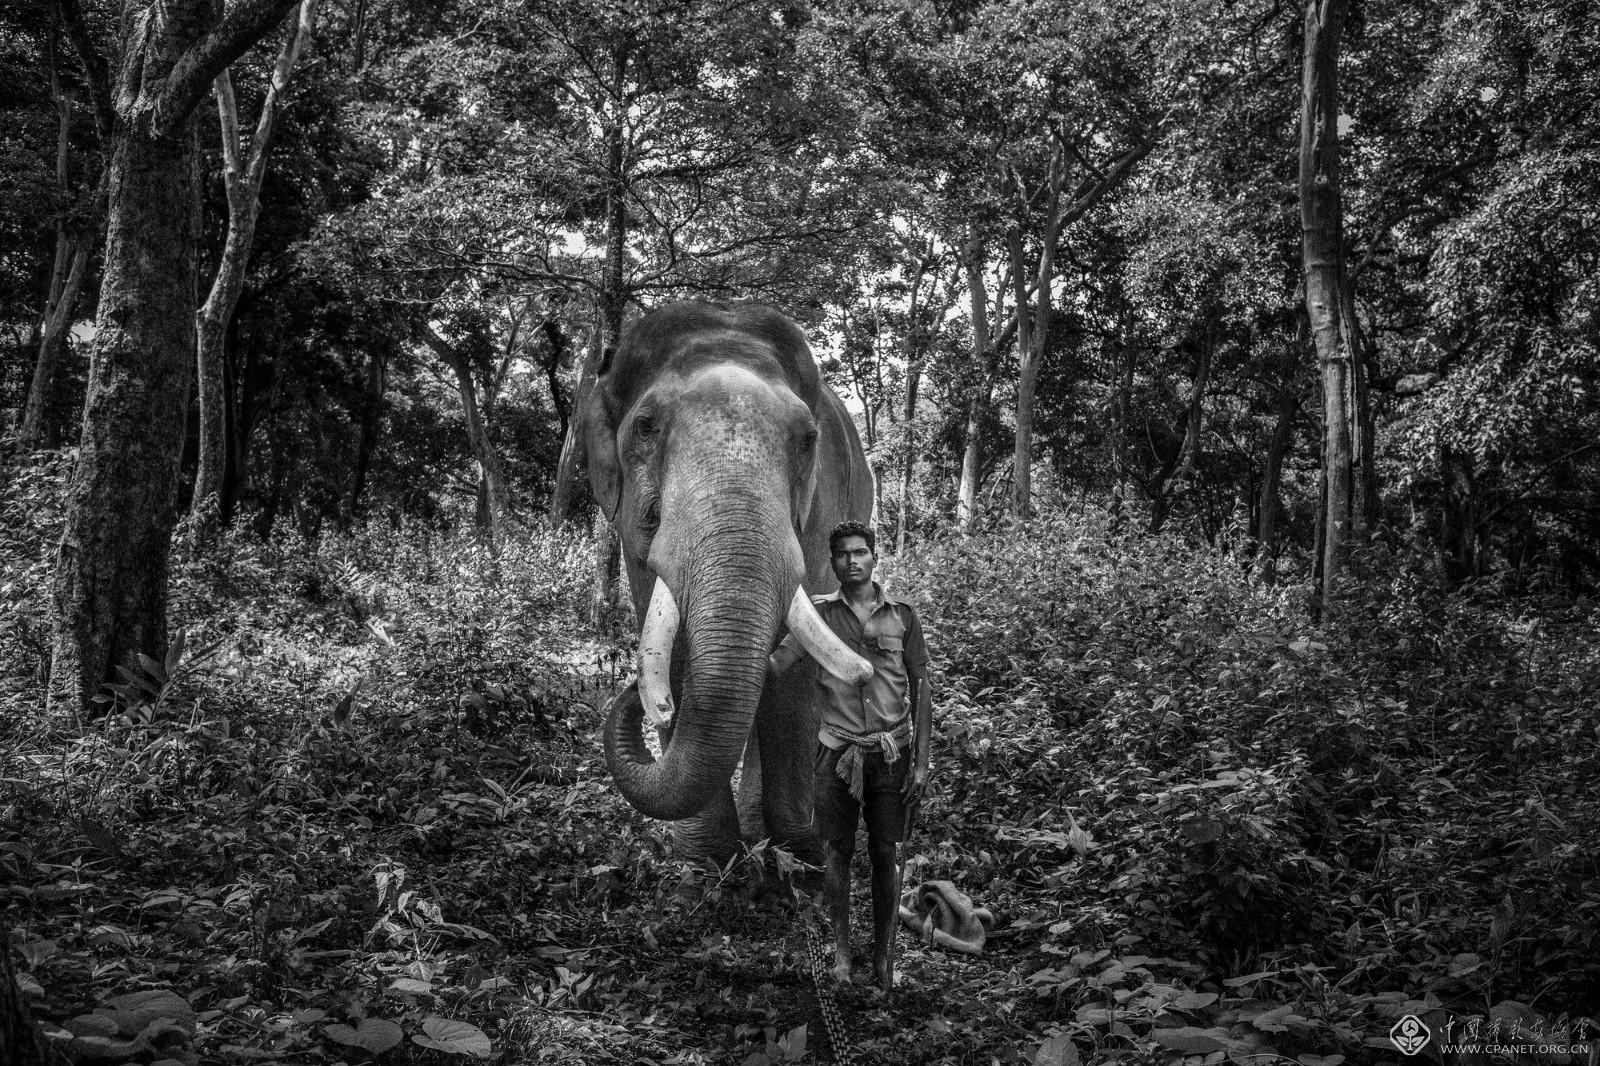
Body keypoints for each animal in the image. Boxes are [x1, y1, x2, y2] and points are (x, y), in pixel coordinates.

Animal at [585, 300, 870, 864]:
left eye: (808, 440)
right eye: (645, 427)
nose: (630, 696)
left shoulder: (825, 507)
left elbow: (799, 667)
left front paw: (800, 854)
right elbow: (670, 645)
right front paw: (707, 861)